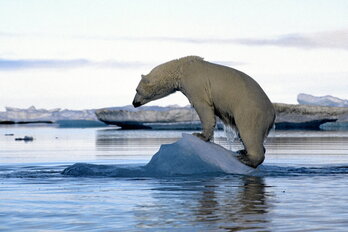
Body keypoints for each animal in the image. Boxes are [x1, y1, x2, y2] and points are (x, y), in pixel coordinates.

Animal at [132, 56, 276, 168]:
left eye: (136, 90)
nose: (134, 103)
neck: (181, 68)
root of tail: (272, 112)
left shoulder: (195, 83)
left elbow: (203, 107)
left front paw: (200, 135)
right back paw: (243, 151)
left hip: (250, 110)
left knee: (249, 132)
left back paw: (247, 159)